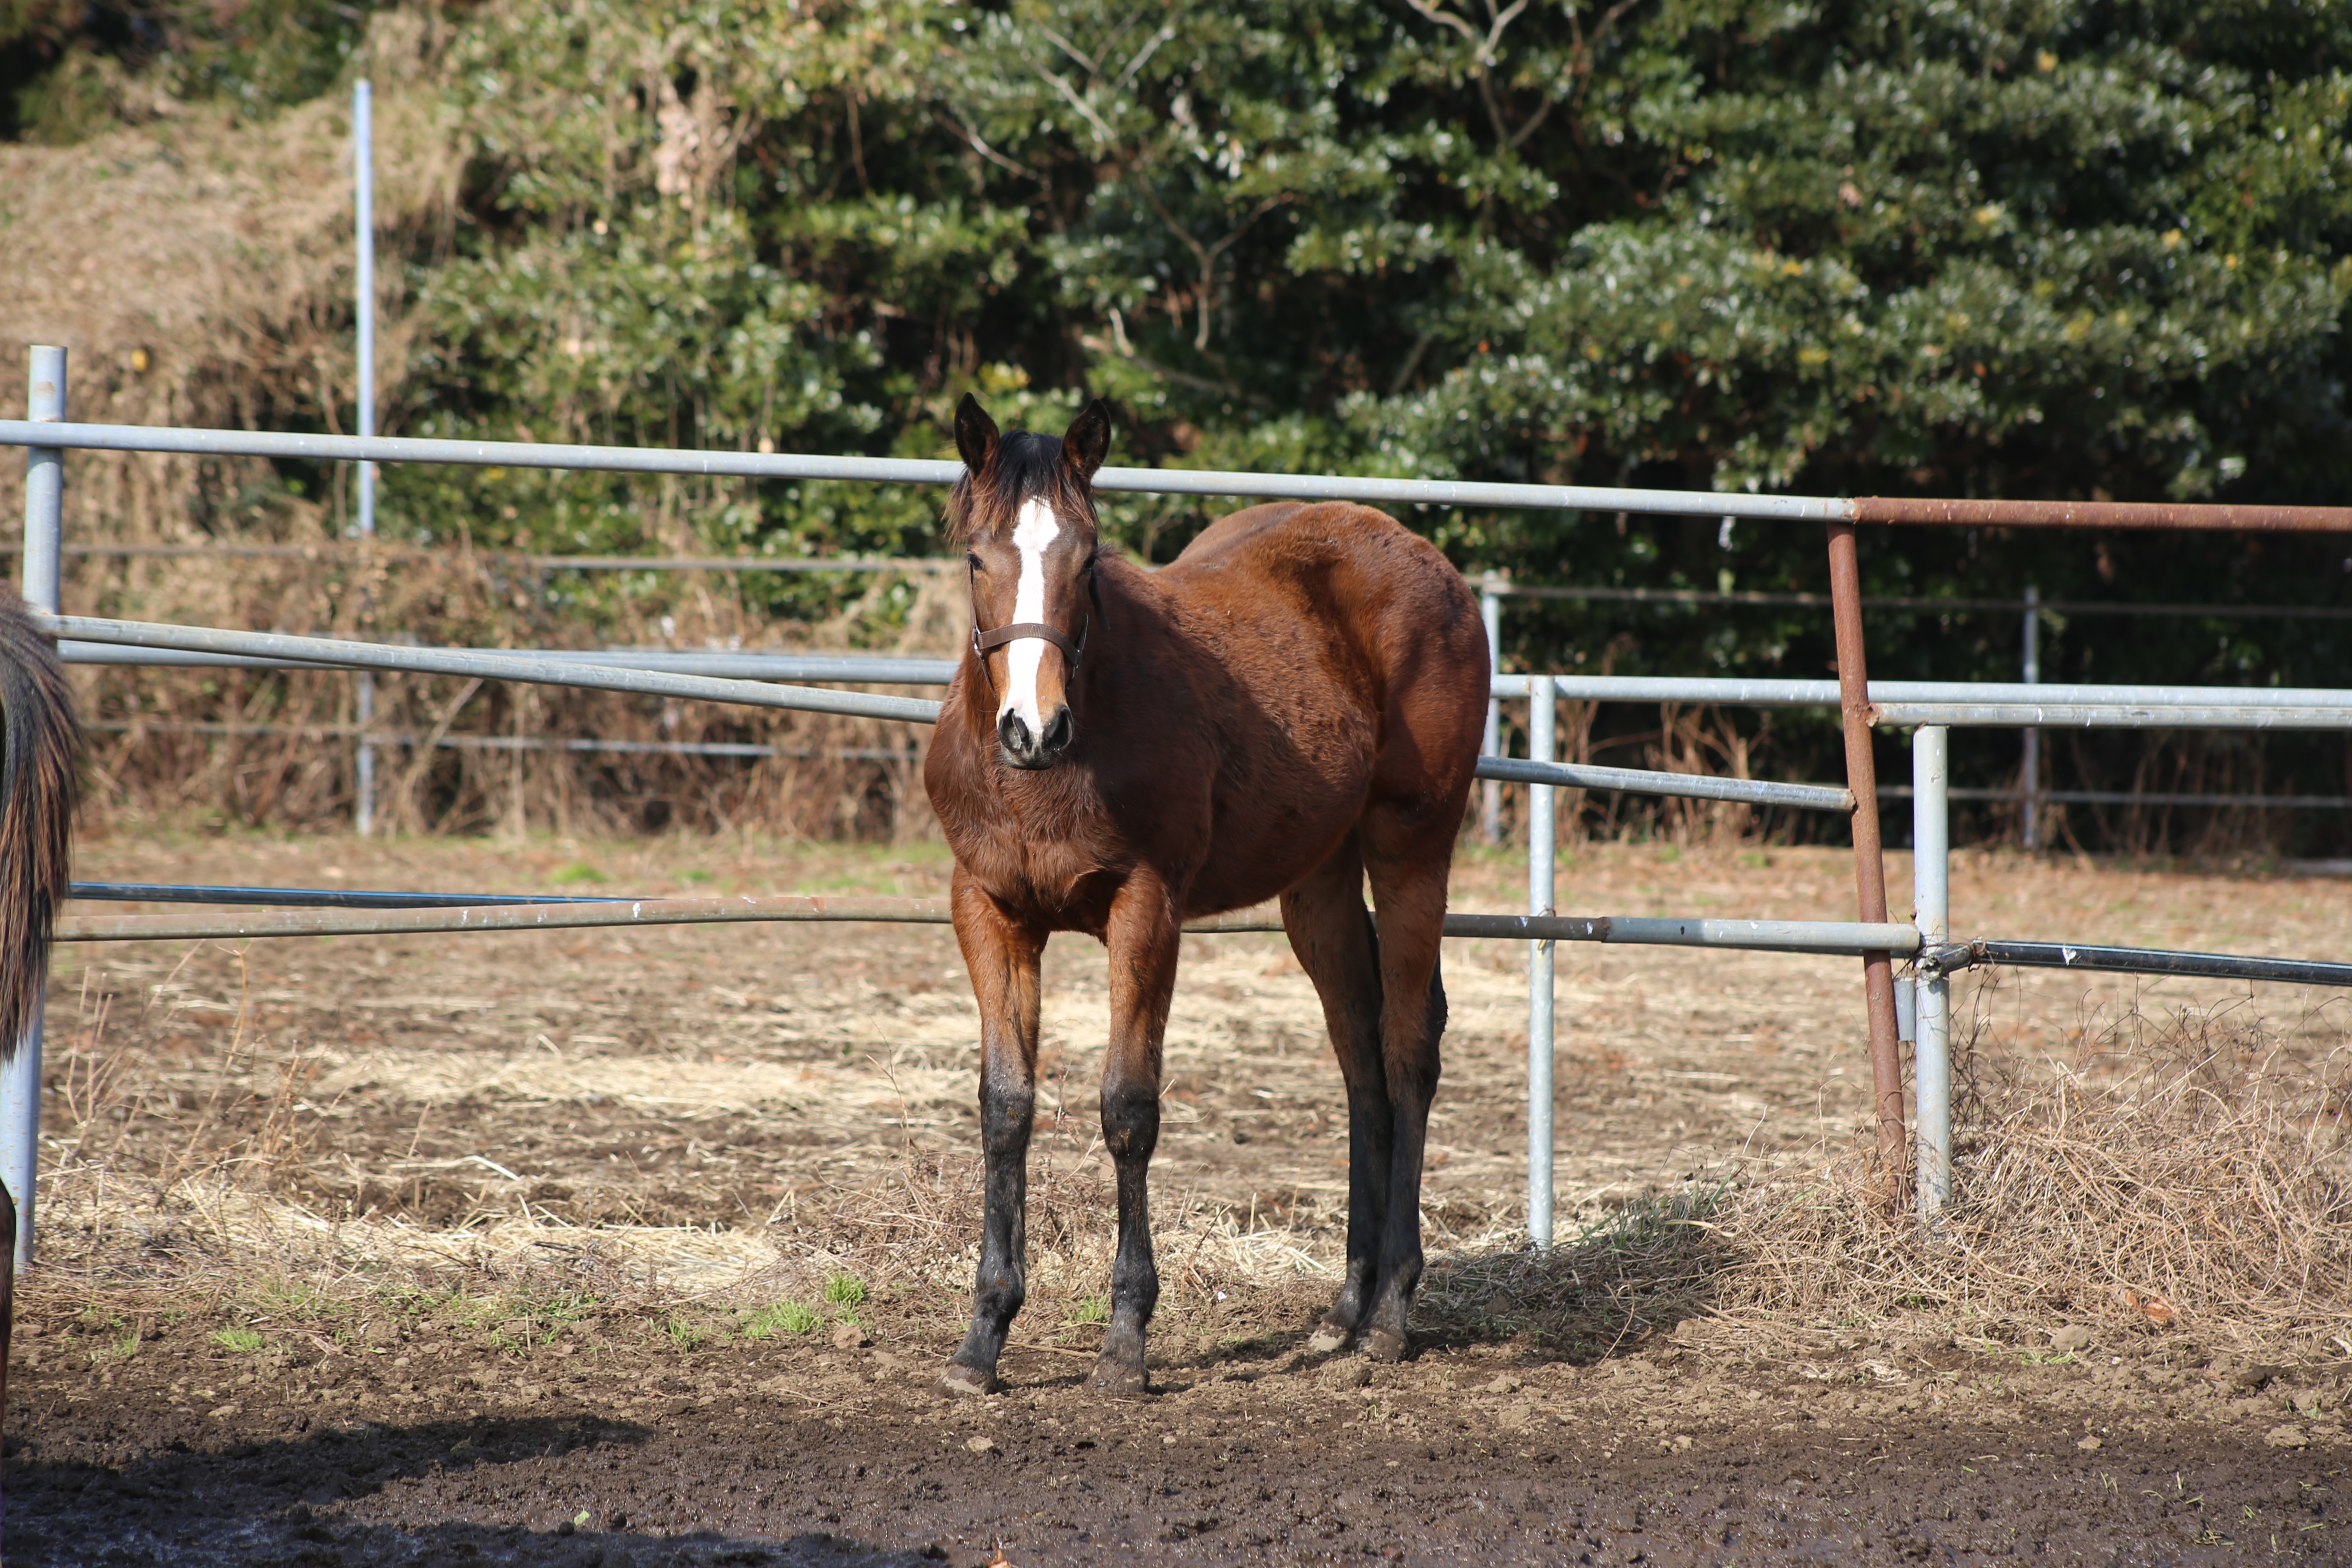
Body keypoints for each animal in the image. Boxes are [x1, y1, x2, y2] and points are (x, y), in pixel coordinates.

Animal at [922, 395, 1486, 1401]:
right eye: (978, 558)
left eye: (1087, 558)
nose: (1034, 728)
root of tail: (1426, 561)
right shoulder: (989, 912)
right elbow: (1005, 1107)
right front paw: (982, 1337)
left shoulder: (1146, 908)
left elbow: (1127, 1108)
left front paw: (1124, 1341)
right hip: (1318, 886)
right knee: (1359, 1059)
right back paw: (1344, 1307)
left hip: (1412, 852)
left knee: (1406, 1048)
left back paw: (1389, 1312)